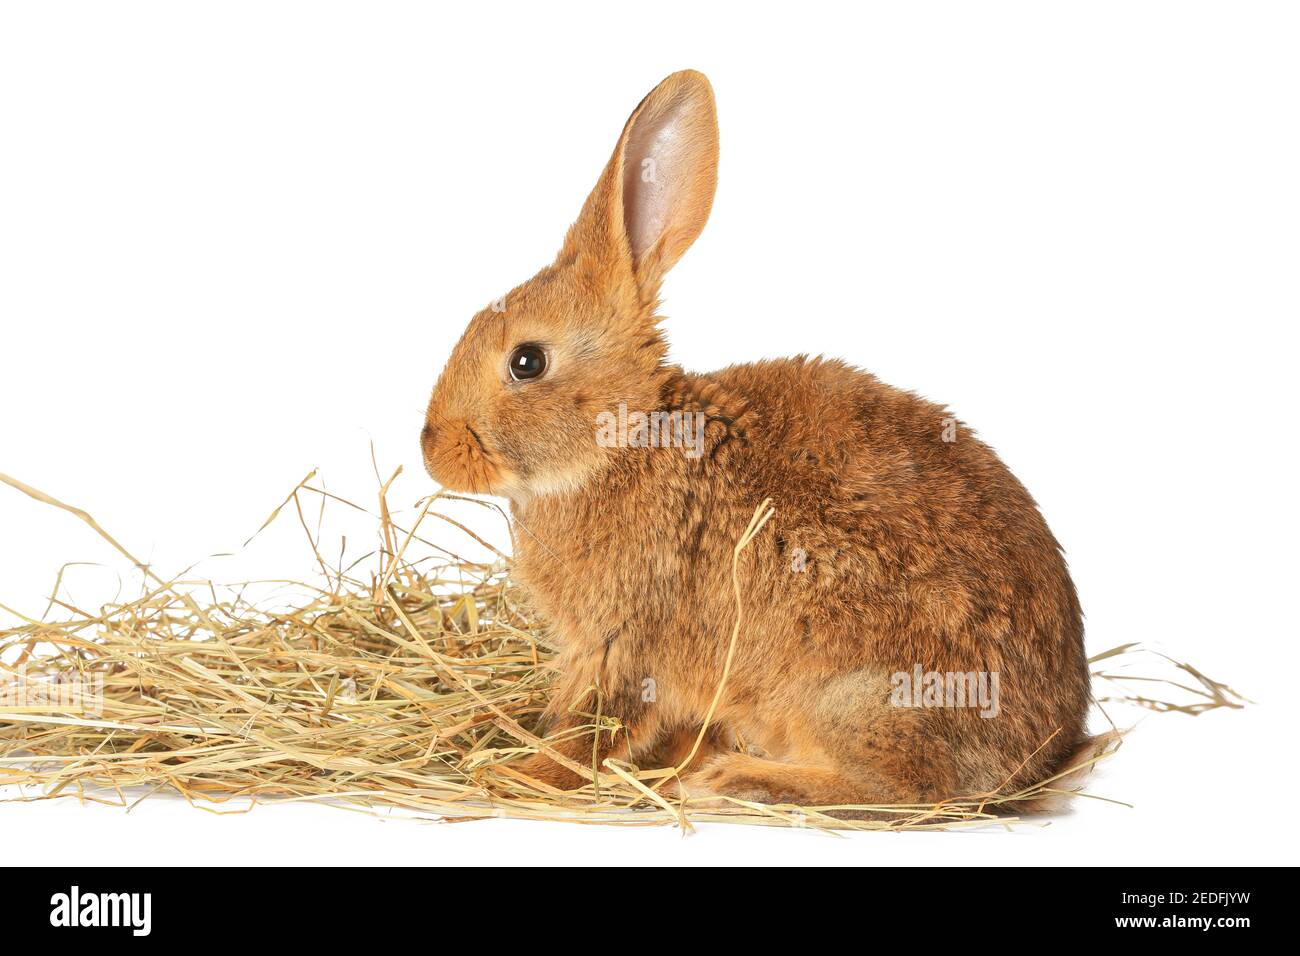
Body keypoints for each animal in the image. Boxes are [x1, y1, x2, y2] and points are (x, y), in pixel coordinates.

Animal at [420, 70, 1094, 813]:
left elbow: (594, 729)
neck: (623, 441)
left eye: (527, 361)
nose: (430, 449)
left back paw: (738, 778)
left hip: (857, 694)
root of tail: (1042, 755)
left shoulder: (626, 641)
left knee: (900, 787)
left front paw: (517, 775)